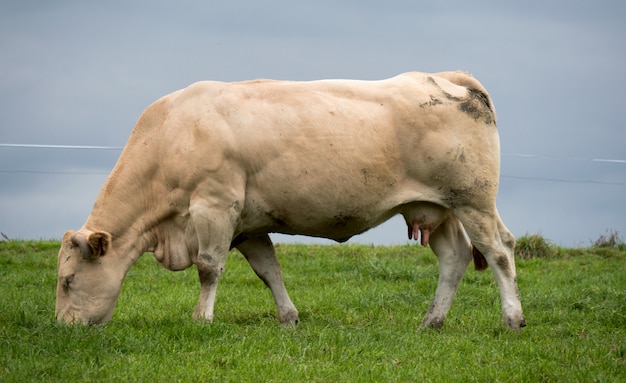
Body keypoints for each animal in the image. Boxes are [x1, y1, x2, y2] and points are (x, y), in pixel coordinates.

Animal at [53, 71, 524, 330]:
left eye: (68, 280)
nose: (63, 328)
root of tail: (443, 75)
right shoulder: (248, 224)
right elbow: (269, 271)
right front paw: (289, 318)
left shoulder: (215, 206)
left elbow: (209, 267)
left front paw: (202, 319)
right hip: (438, 208)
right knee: (455, 258)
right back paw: (431, 321)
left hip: (474, 201)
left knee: (499, 251)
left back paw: (513, 319)